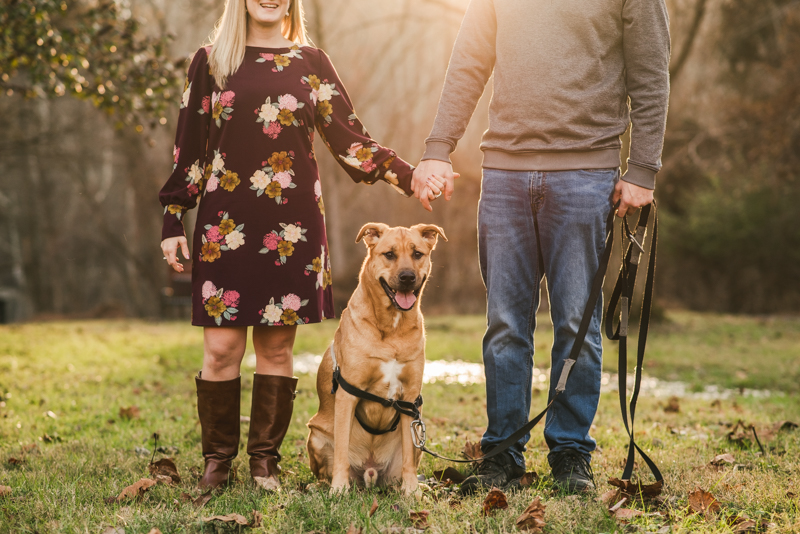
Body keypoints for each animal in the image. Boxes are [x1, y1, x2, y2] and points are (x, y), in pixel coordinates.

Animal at [306, 223, 446, 498]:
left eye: (417, 254)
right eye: (389, 254)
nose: (407, 277)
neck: (392, 327)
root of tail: (370, 473)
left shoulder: (409, 400)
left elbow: (408, 461)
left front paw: (411, 492)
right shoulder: (347, 394)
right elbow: (341, 452)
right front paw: (339, 490)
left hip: (417, 435)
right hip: (315, 435)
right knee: (326, 469)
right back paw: (321, 486)